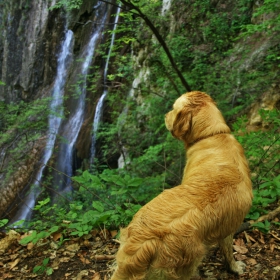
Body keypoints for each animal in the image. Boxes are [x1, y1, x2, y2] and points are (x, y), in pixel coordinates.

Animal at [110, 91, 253, 278]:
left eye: (173, 108)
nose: (165, 115)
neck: (212, 134)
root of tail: (144, 242)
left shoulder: (228, 229)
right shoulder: (228, 229)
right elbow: (228, 252)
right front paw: (235, 267)